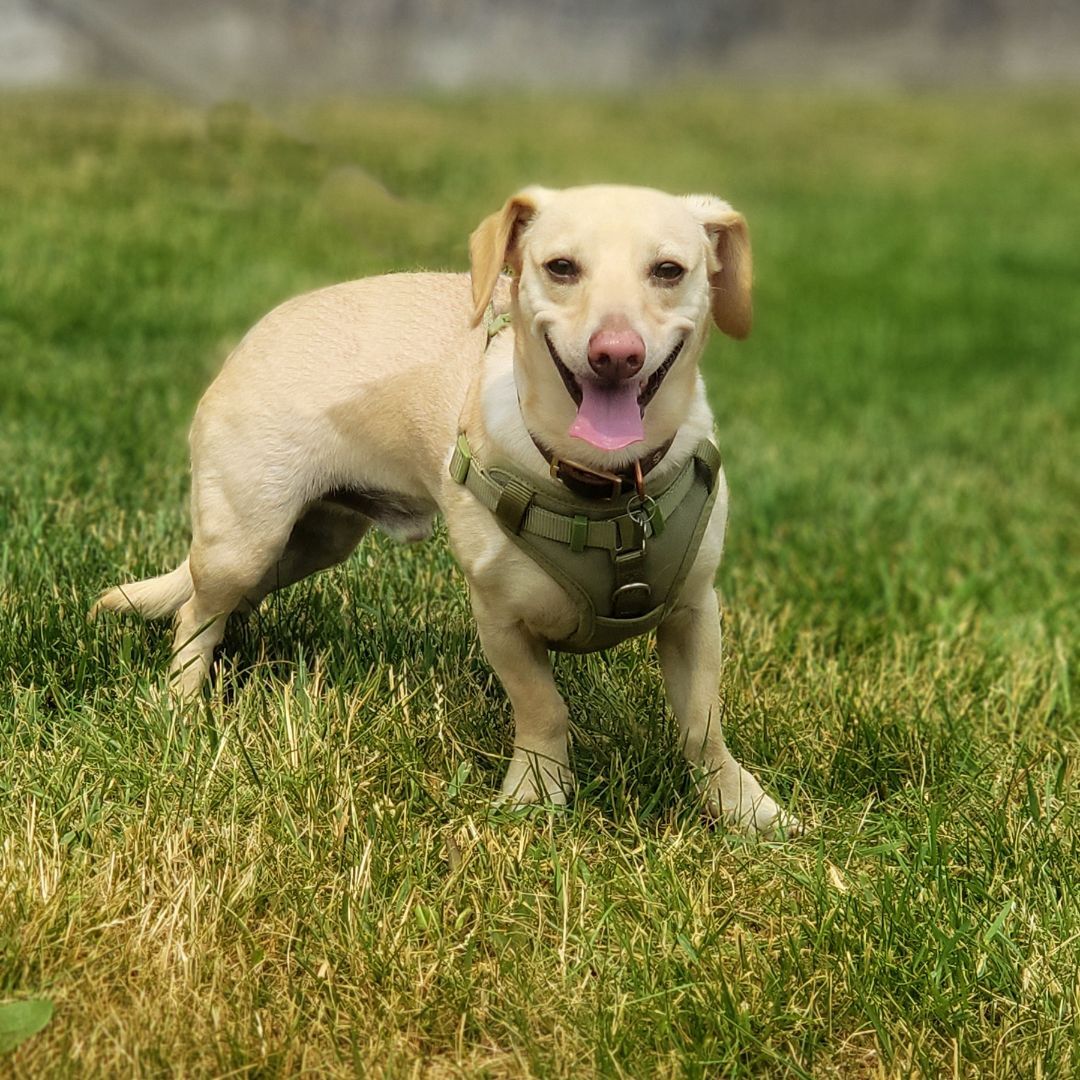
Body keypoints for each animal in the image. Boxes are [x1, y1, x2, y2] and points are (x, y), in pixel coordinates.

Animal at [92, 183, 799, 833]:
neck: (604, 488)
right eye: (561, 267)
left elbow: (702, 725)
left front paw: (741, 807)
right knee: (196, 613)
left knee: (224, 603)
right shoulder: (502, 623)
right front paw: (537, 795)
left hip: (308, 544)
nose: (616, 353)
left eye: (669, 271)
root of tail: (257, 335)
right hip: (245, 540)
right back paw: (183, 705)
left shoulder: (693, 614)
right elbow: (543, 709)